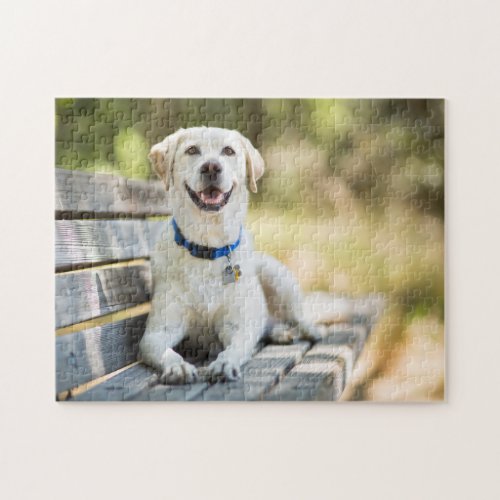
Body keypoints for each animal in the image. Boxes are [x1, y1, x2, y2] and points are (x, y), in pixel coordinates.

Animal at [139, 127, 318, 384]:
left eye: (229, 151)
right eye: (191, 150)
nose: (211, 167)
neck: (208, 246)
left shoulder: (237, 326)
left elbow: (234, 347)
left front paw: (224, 364)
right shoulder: (157, 331)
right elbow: (165, 351)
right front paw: (178, 367)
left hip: (275, 275)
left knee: (298, 317)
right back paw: (279, 333)